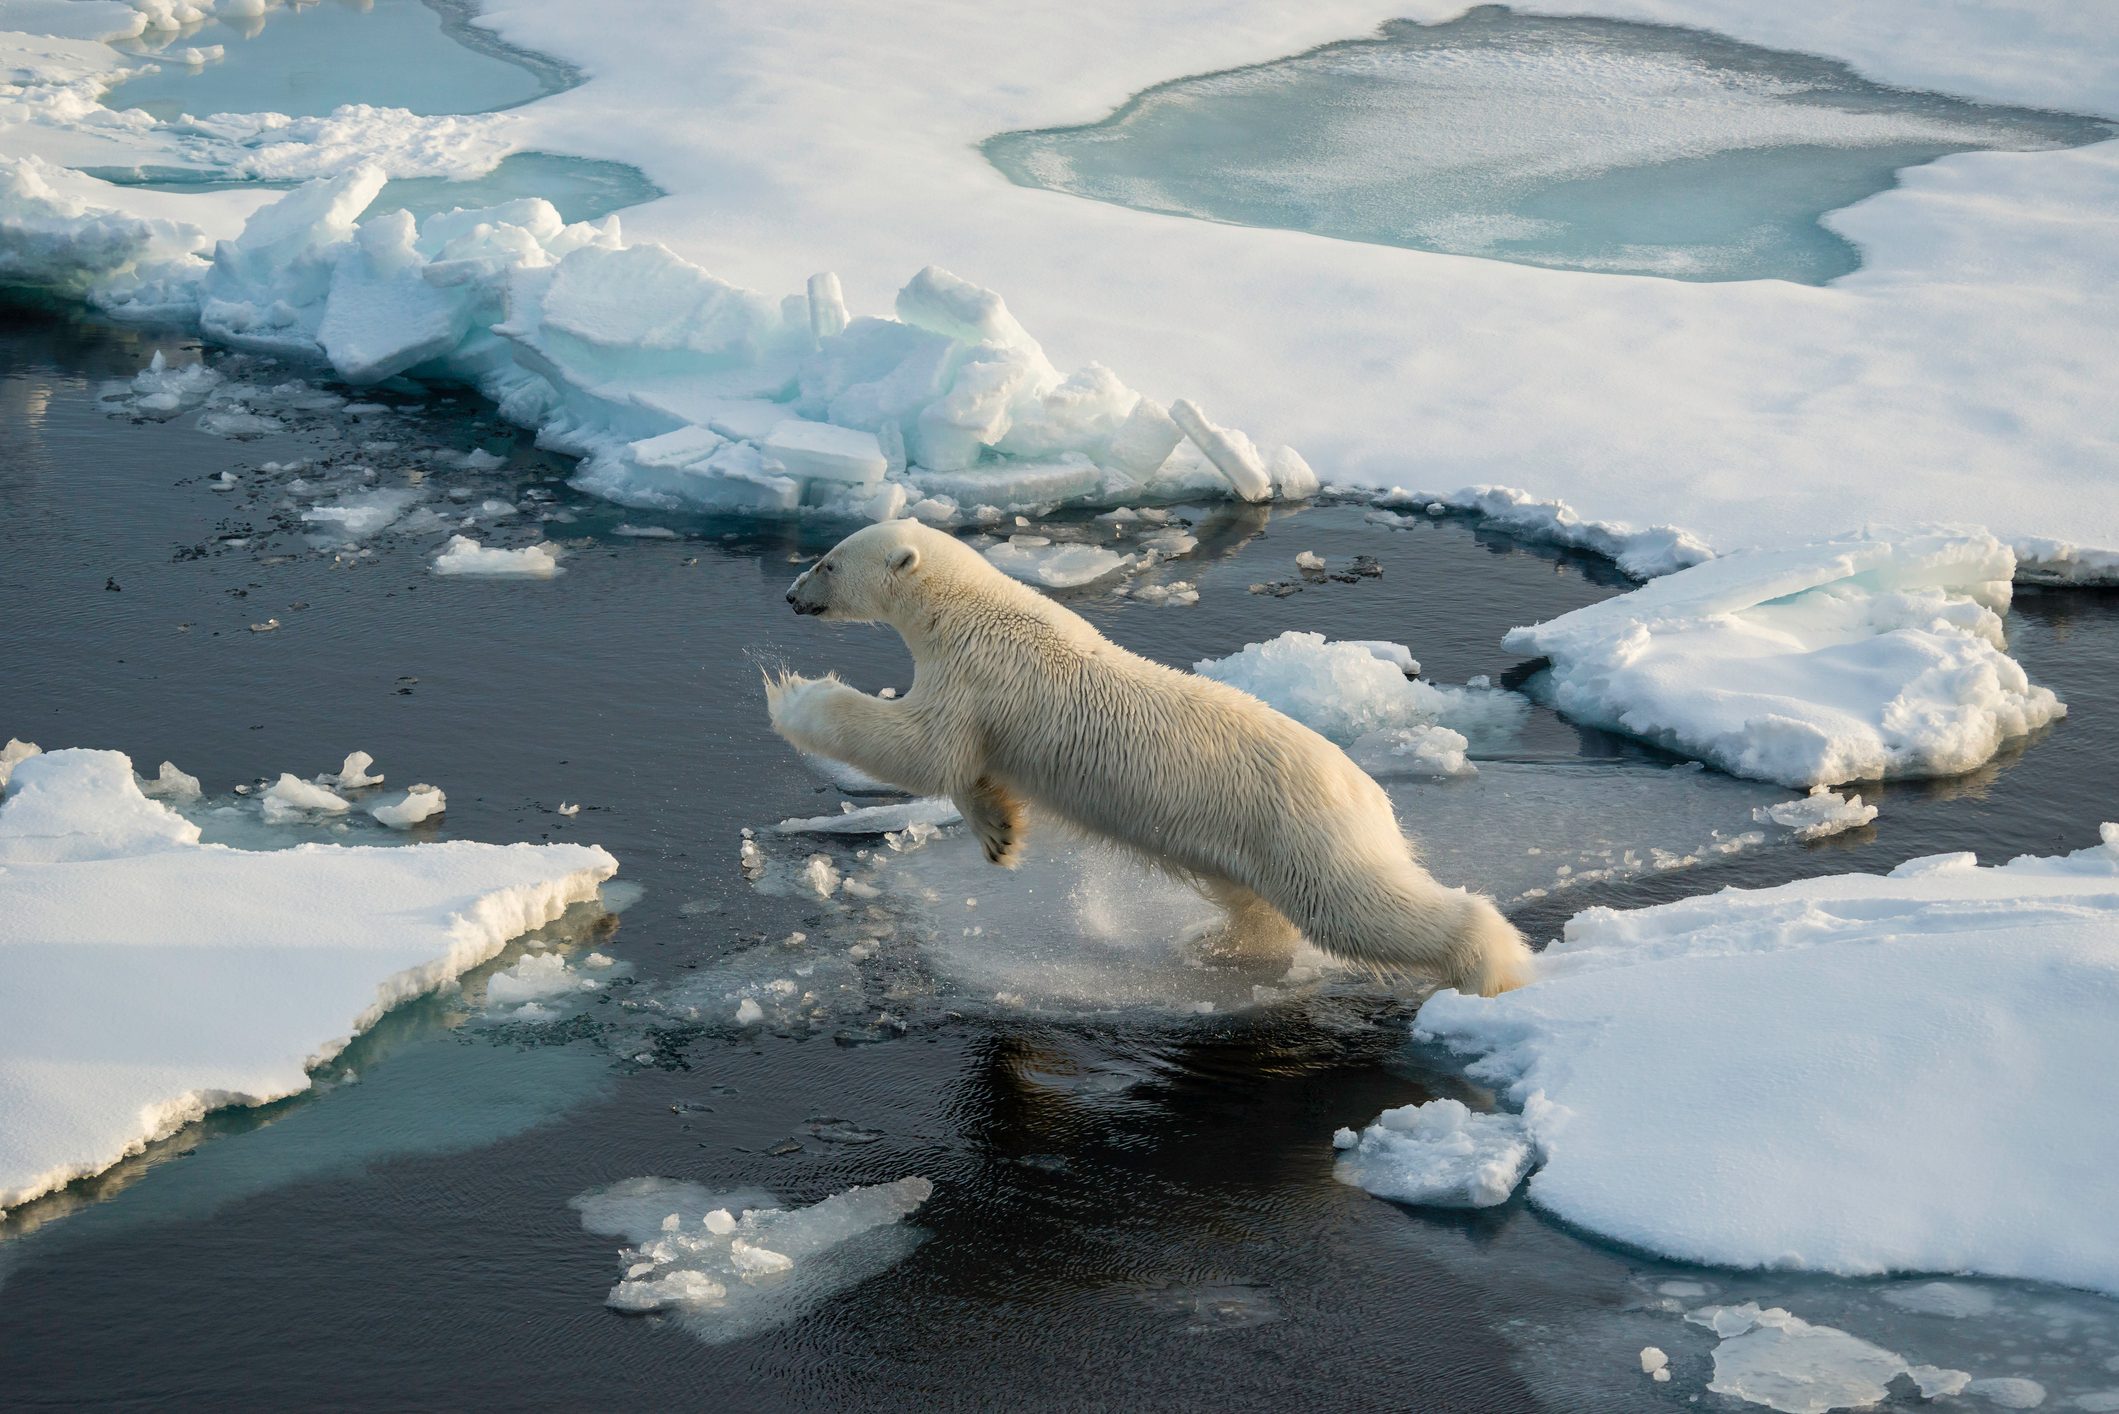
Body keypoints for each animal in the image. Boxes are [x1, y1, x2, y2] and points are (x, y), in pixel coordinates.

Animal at [764, 520, 1534, 997]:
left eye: (826, 561)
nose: (791, 596)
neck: (970, 610)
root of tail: (1370, 792)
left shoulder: (979, 674)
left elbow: (922, 747)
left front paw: (792, 693)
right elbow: (960, 767)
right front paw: (999, 834)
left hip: (1303, 829)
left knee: (1357, 906)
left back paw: (1491, 967)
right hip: (1248, 838)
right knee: (1253, 898)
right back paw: (1216, 941)